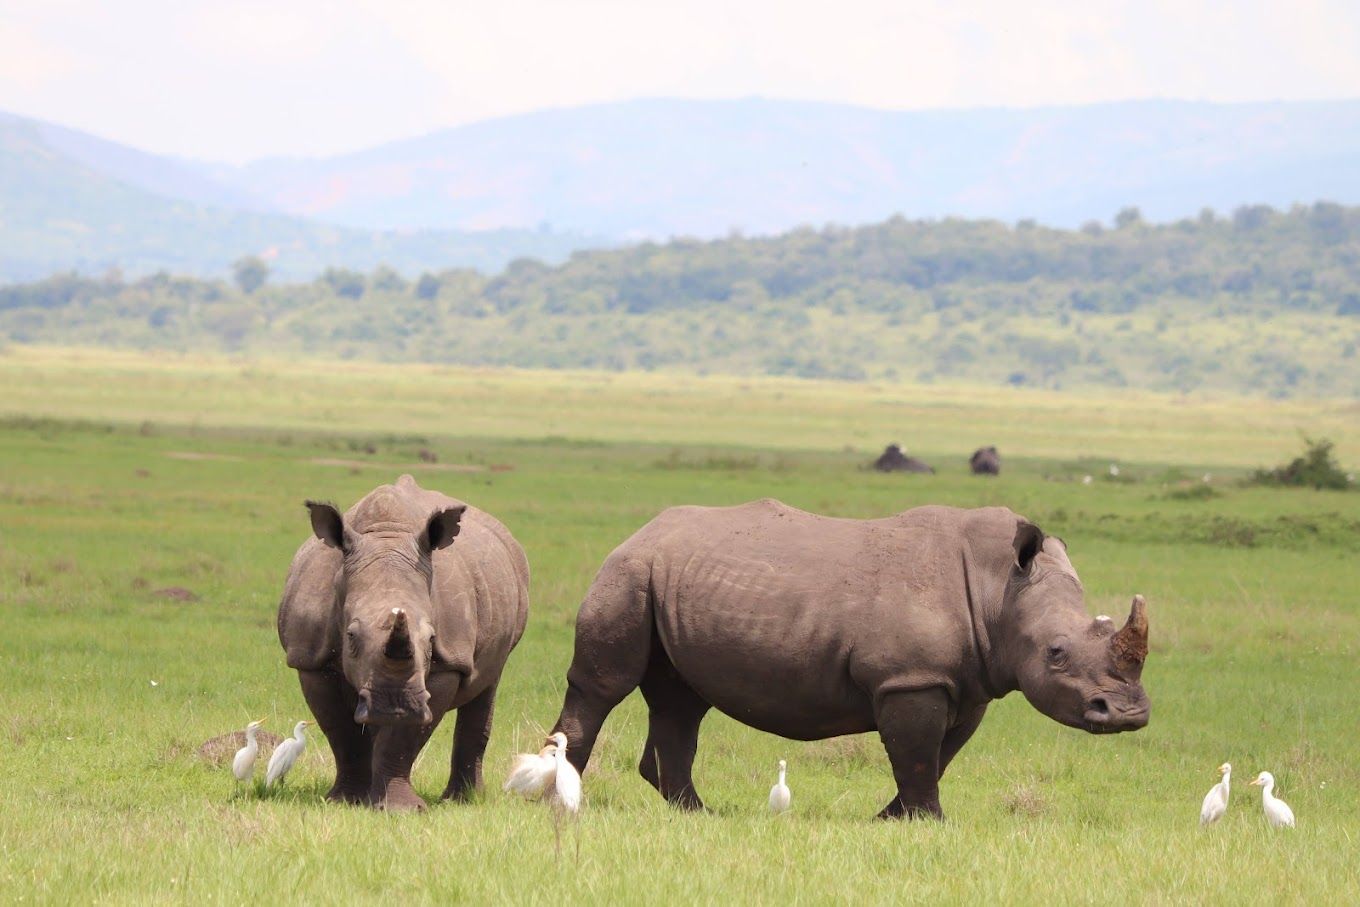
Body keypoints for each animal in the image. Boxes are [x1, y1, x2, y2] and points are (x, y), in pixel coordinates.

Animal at [277, 475, 529, 810]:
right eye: (351, 636)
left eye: (432, 638)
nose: (395, 704)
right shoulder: (310, 658)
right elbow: (341, 733)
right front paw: (345, 801)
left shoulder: (448, 662)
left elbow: (403, 740)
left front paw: (399, 809)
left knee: (487, 681)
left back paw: (462, 800)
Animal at [551, 500, 1148, 819]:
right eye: (1056, 654)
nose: (1128, 715)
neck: (997, 588)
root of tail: (642, 531)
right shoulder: (910, 678)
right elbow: (917, 754)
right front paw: (928, 824)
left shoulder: (965, 681)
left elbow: (937, 755)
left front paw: (892, 819)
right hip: (629, 571)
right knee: (605, 686)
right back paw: (563, 796)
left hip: (667, 578)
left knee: (682, 701)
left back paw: (699, 814)